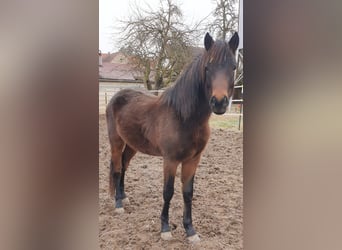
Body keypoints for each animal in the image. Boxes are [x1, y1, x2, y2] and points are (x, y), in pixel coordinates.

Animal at [105, 31, 239, 242]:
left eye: (233, 67)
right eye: (207, 67)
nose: (219, 102)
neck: (184, 117)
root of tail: (117, 97)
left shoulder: (193, 160)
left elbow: (188, 192)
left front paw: (190, 230)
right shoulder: (170, 160)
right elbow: (168, 192)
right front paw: (165, 229)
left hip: (132, 145)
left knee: (124, 167)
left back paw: (123, 196)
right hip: (116, 142)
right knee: (117, 168)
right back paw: (118, 204)